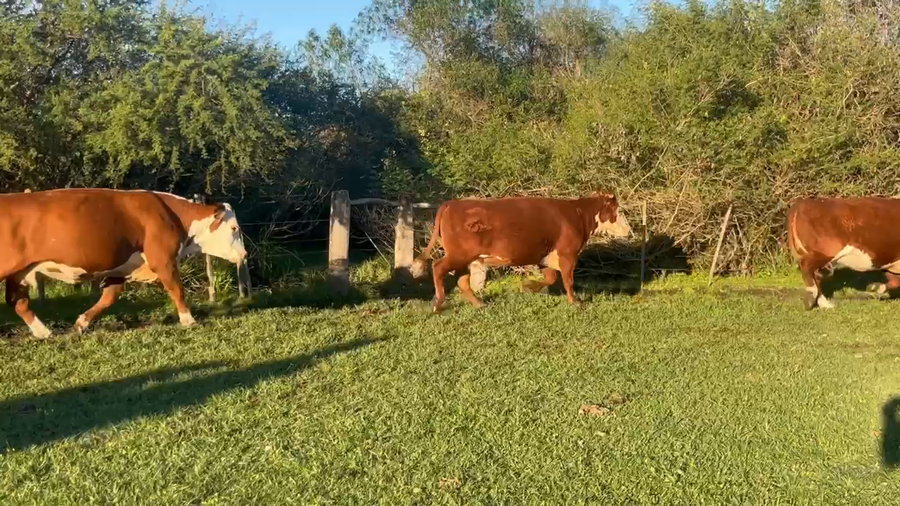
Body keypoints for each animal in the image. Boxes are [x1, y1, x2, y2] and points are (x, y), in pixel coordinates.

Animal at [0, 188, 247, 337]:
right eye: (234, 228)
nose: (244, 254)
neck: (171, 215)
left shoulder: (122, 268)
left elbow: (109, 298)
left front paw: (82, 323)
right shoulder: (163, 260)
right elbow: (177, 289)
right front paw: (189, 319)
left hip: (20, 272)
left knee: (17, 302)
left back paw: (43, 332)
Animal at [410, 191, 632, 312]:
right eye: (618, 210)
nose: (629, 229)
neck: (576, 215)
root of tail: (452, 203)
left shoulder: (545, 256)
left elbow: (551, 278)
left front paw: (528, 286)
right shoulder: (568, 254)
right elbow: (568, 280)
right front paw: (575, 301)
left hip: (466, 258)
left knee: (462, 280)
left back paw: (479, 304)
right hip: (459, 254)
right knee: (438, 267)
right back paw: (438, 302)